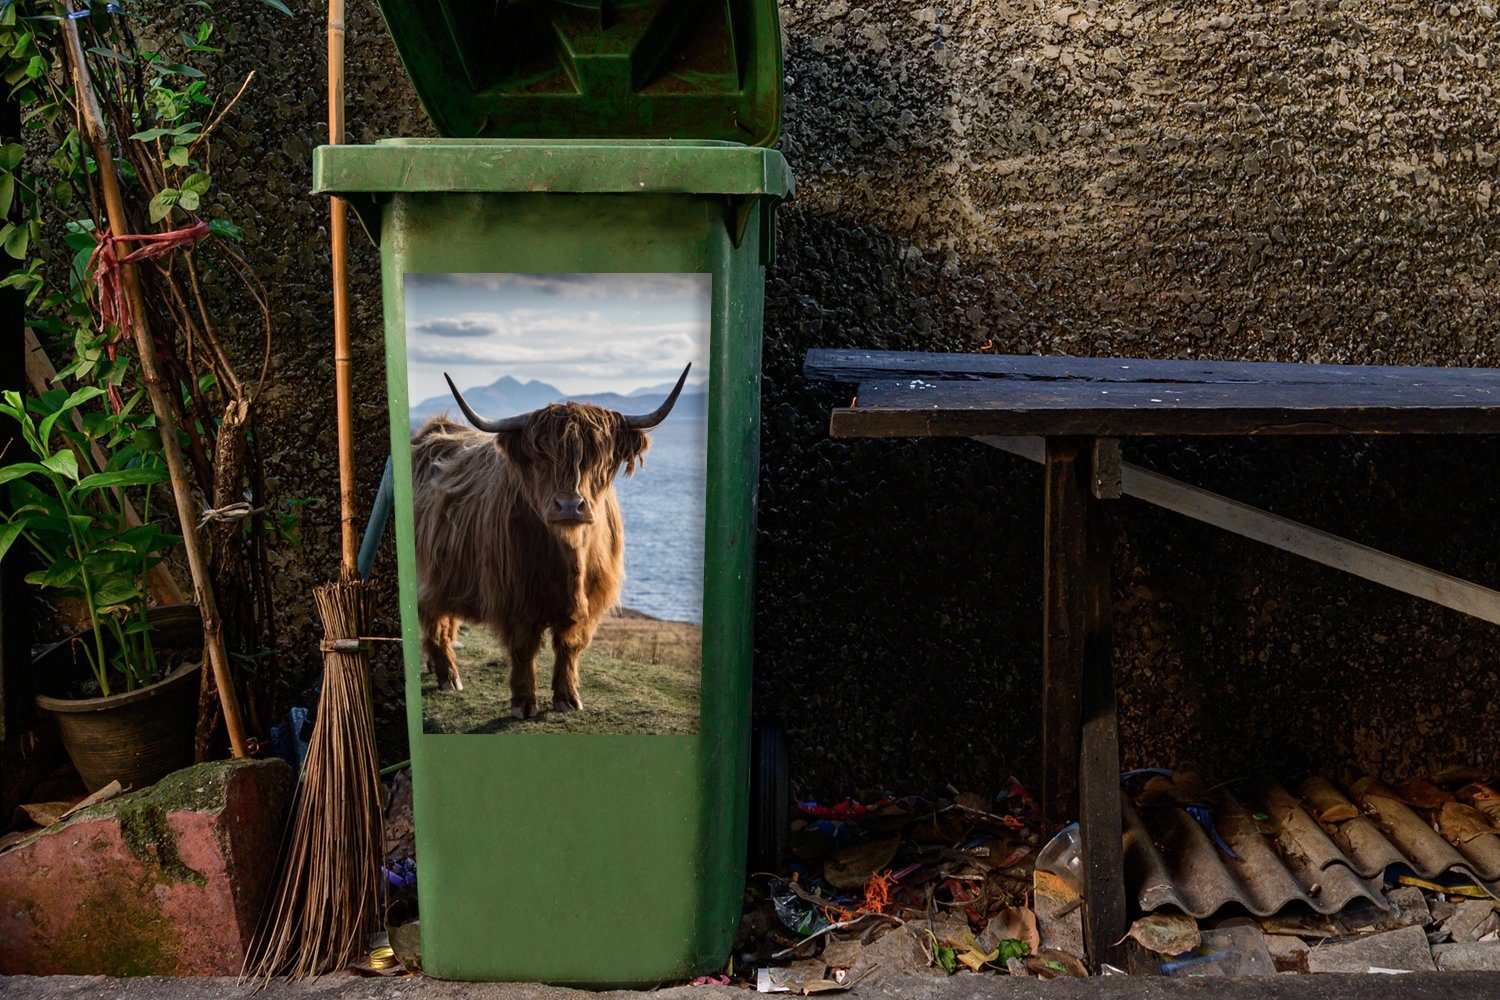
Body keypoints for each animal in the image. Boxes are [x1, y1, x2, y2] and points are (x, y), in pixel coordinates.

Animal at [411, 367, 690, 719]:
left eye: (598, 456)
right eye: (540, 457)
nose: (570, 505)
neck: (569, 558)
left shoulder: (590, 601)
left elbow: (570, 645)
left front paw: (568, 699)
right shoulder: (514, 596)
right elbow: (523, 647)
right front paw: (523, 703)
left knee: (444, 618)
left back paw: (437, 668)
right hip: (426, 572)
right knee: (433, 619)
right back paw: (449, 676)